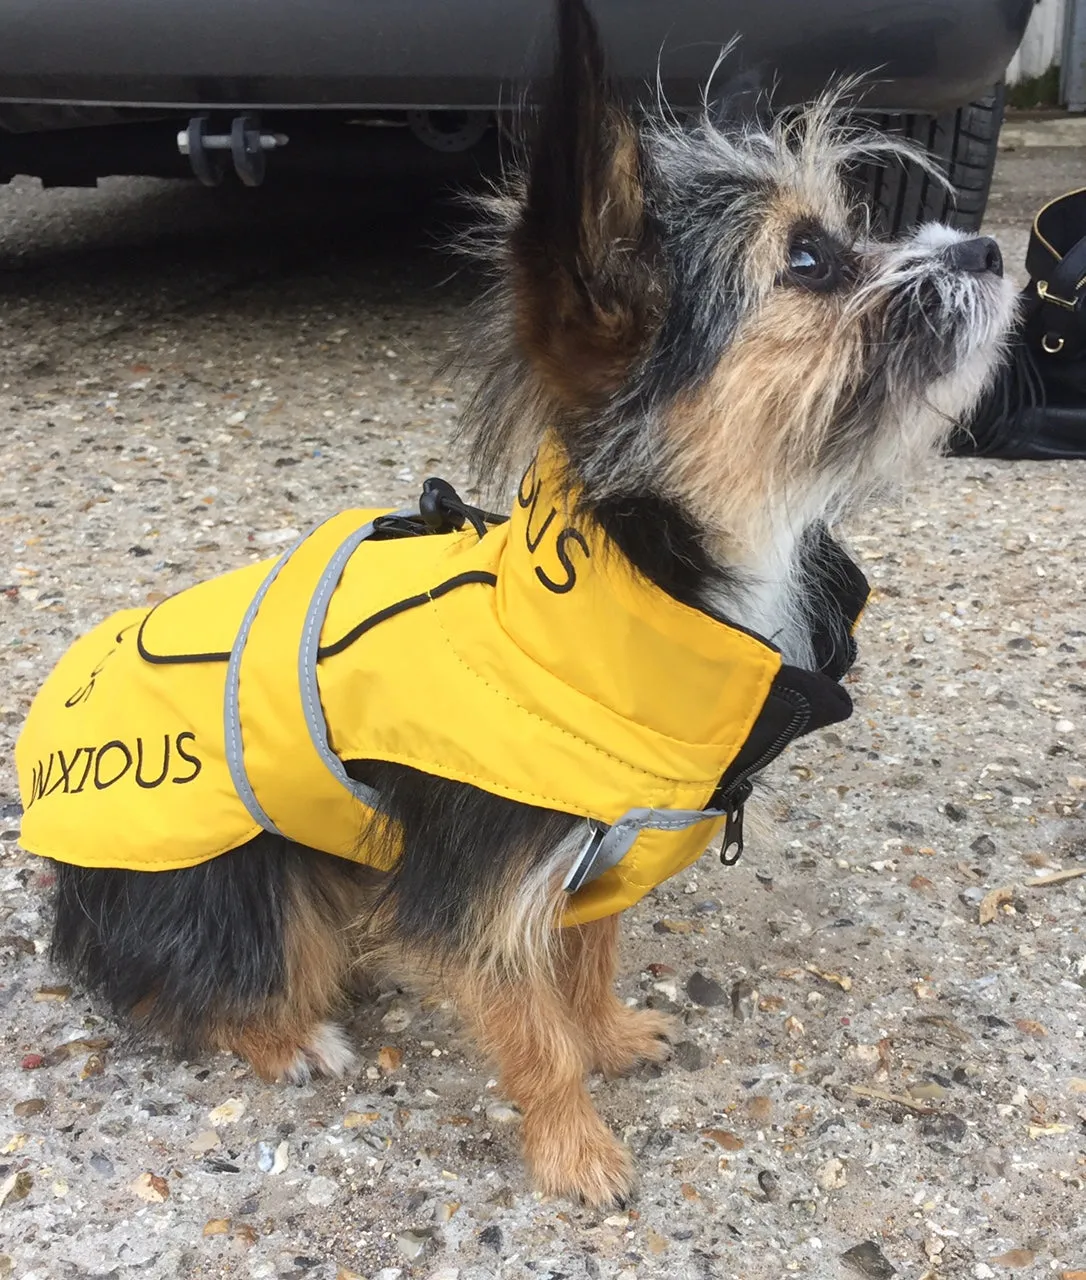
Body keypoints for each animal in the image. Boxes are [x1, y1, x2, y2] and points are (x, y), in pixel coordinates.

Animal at [38, 0, 1014, 1208]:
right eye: (809, 258)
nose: (988, 248)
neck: (630, 589)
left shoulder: (602, 844)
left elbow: (588, 958)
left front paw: (610, 1035)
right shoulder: (482, 884)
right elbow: (529, 1022)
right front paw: (575, 1146)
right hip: (242, 882)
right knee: (176, 987)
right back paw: (288, 1036)